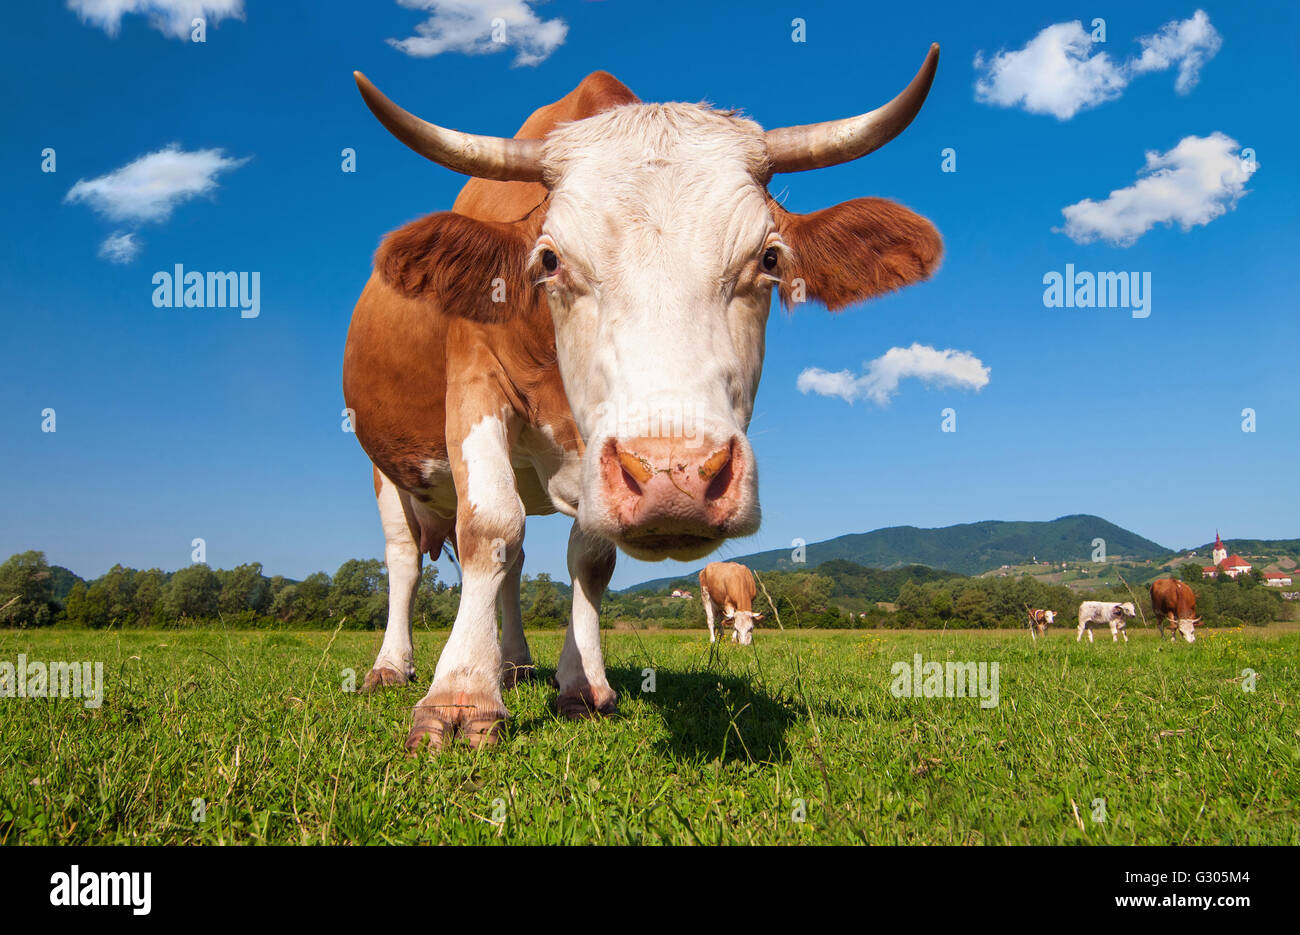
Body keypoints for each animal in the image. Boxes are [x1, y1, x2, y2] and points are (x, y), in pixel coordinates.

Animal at [340, 49, 941, 754]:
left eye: (769, 259)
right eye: (548, 261)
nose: (675, 477)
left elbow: (588, 558)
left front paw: (581, 686)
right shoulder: (475, 383)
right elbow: (489, 526)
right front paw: (460, 696)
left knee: (514, 567)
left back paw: (514, 664)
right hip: (384, 465)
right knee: (406, 559)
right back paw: (394, 666)